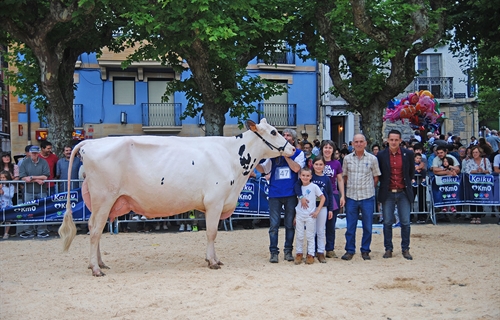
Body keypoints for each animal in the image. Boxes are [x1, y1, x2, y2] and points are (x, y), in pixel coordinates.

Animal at [58, 119, 294, 276]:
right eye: (274, 132)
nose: (292, 148)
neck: (232, 158)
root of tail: (90, 143)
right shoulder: (214, 201)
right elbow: (212, 233)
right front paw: (212, 261)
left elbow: (213, 233)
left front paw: (214, 258)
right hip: (103, 197)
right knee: (95, 230)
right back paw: (95, 268)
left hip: (99, 201)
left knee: (94, 228)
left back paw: (100, 263)